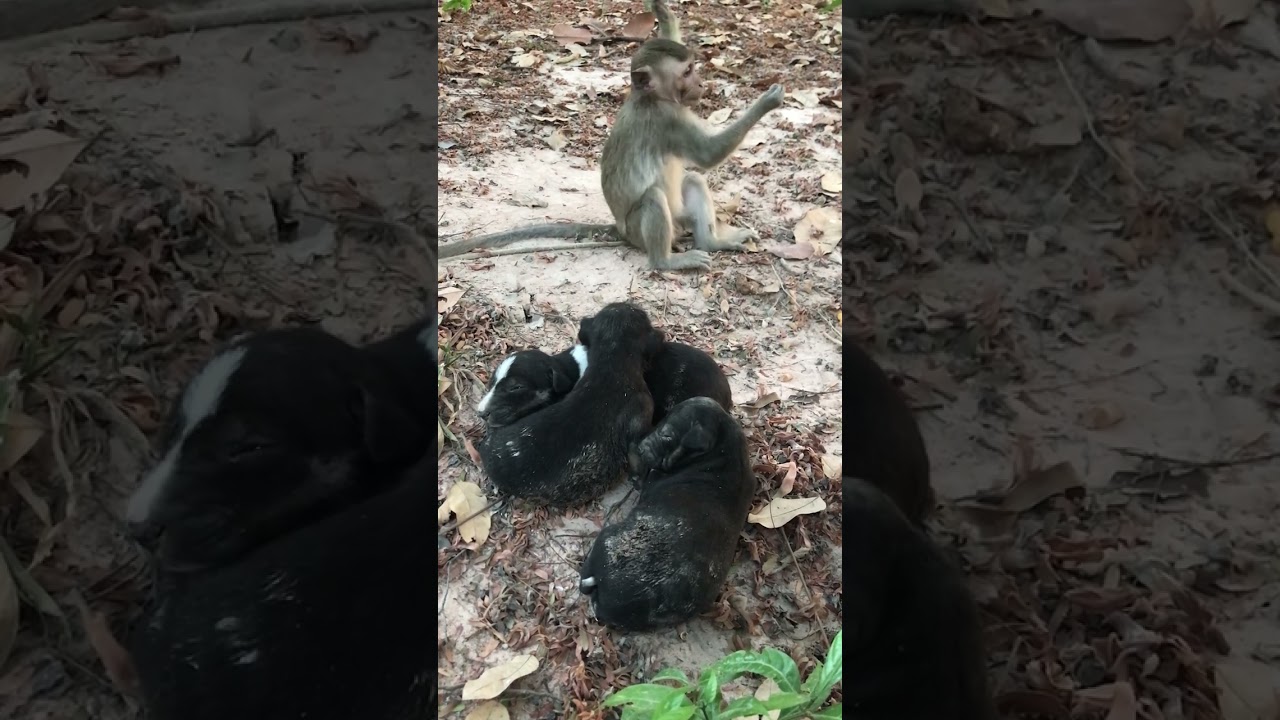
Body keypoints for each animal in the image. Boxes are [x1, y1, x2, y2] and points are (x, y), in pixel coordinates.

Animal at [438, 1, 784, 271]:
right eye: (687, 72)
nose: (700, 85)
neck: (651, 98)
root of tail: (619, 228)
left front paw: (663, 12)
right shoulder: (667, 120)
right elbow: (708, 154)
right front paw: (766, 102)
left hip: (679, 218)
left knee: (693, 181)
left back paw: (711, 241)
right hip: (637, 231)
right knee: (653, 199)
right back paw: (667, 262)